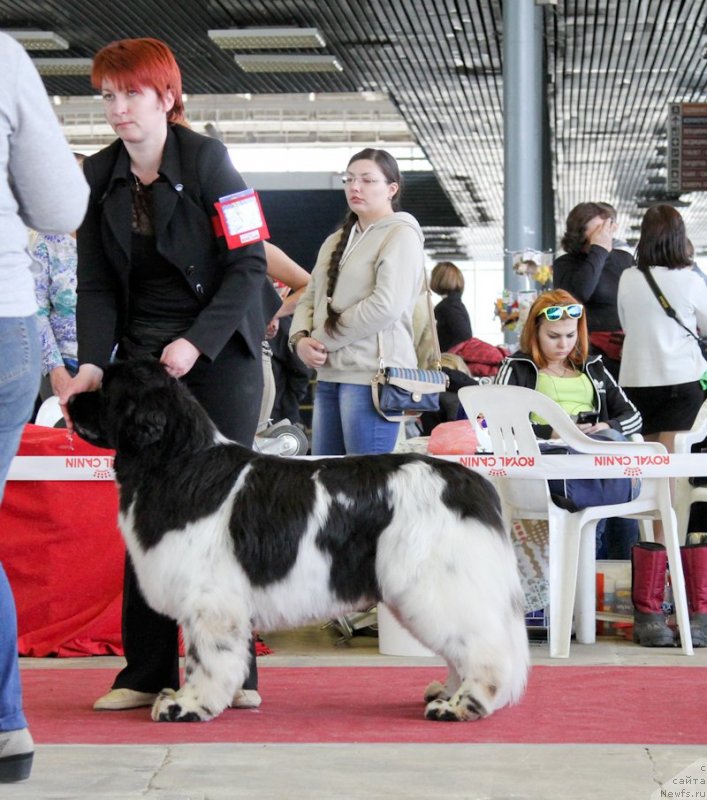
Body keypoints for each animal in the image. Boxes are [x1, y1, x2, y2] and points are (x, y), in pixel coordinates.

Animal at [69, 360, 528, 720]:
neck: (177, 462)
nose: (72, 397)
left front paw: (187, 705)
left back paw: (460, 706)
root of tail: (472, 483)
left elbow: (206, 659)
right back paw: (445, 693)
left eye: (105, 388)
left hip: (437, 585)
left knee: (484, 649)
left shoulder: (210, 600)